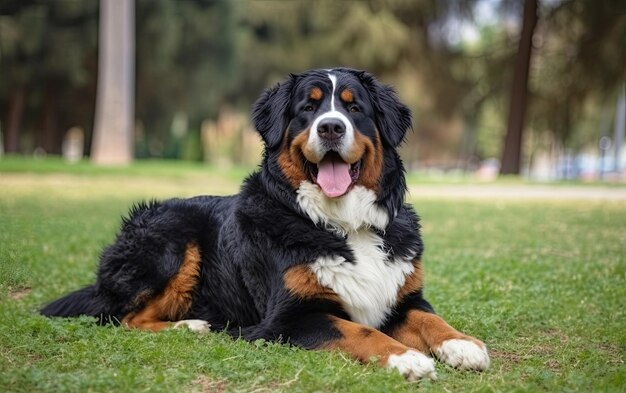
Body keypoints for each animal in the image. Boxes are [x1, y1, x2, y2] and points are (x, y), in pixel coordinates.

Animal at [42, 68, 488, 380]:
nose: (330, 126)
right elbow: (361, 332)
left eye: (354, 107)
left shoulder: (402, 298)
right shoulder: (289, 319)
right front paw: (406, 358)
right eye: (308, 108)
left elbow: (431, 319)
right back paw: (191, 326)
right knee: (124, 318)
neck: (344, 223)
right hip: (172, 237)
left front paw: (462, 344)